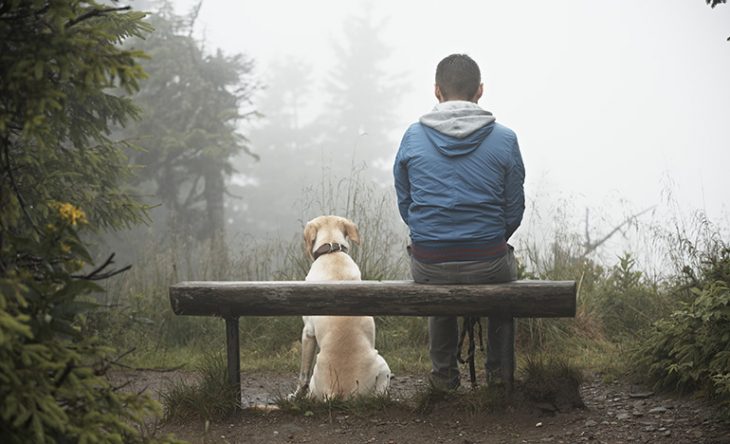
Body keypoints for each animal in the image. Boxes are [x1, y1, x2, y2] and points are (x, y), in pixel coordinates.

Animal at [292, 215, 390, 398]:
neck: (332, 252)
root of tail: (338, 392)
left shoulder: (308, 332)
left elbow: (303, 373)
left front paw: (296, 395)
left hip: (382, 363)